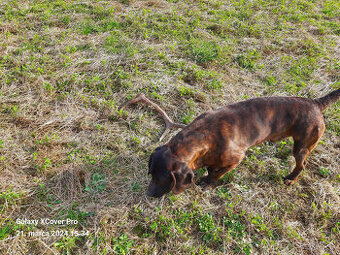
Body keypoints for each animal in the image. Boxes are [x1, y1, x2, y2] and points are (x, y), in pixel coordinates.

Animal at [146, 88, 340, 198]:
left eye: (162, 179)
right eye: (151, 174)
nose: (147, 194)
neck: (203, 134)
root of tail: (315, 103)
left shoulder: (236, 158)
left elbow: (217, 173)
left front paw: (208, 182)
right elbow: (212, 168)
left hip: (302, 146)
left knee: (302, 165)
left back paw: (291, 179)